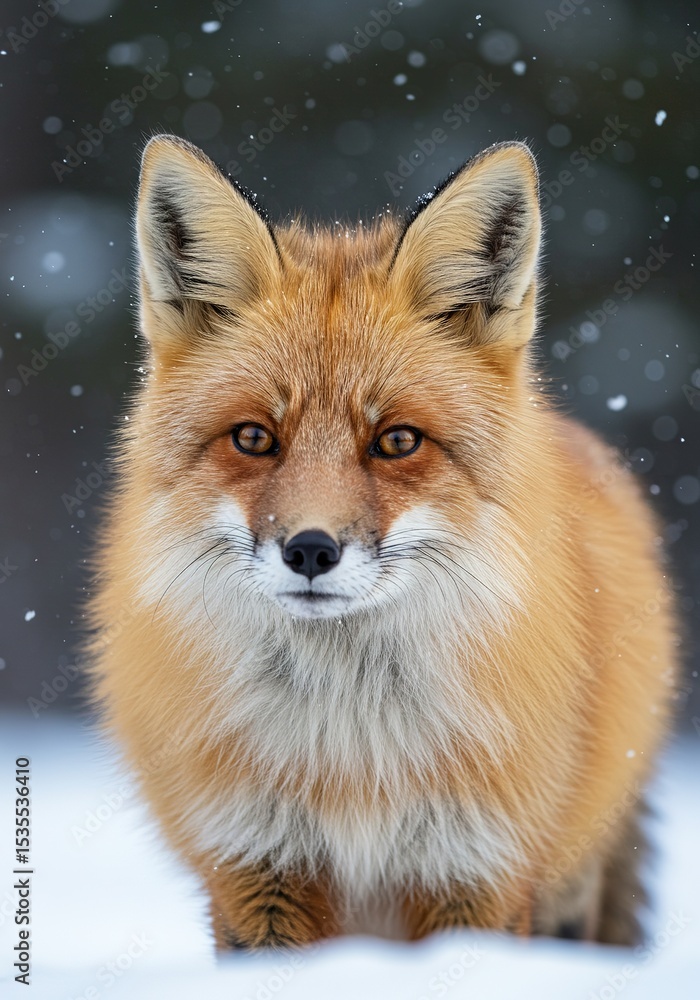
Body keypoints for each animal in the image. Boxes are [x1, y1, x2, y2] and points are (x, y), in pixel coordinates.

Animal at [87, 134, 678, 950]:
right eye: (254, 438)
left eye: (397, 441)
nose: (309, 550)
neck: (351, 753)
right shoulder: (254, 866)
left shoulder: (476, 867)